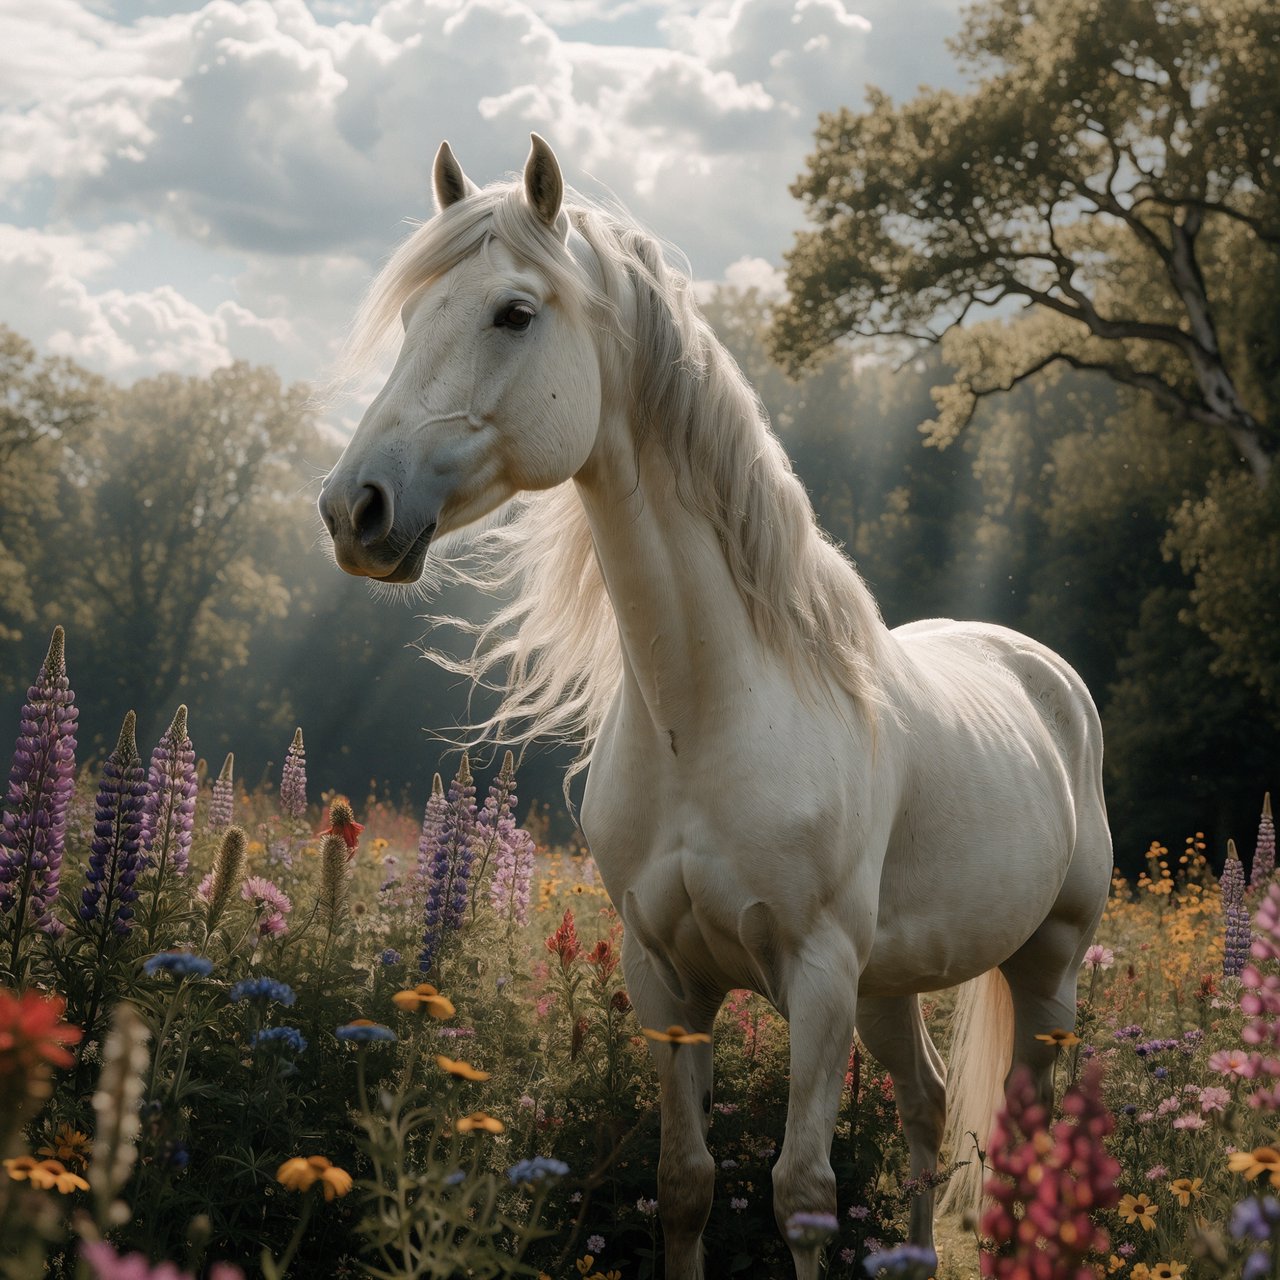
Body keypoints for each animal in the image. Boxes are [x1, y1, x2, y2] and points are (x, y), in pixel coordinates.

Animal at [317, 134, 1112, 1280]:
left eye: (514, 312)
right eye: (414, 315)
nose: (354, 509)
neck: (710, 711)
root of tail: (1043, 674)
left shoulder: (817, 978)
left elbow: (803, 1193)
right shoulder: (667, 980)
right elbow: (685, 1182)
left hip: (1043, 971)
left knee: (1026, 1141)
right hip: (892, 985)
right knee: (923, 1108)